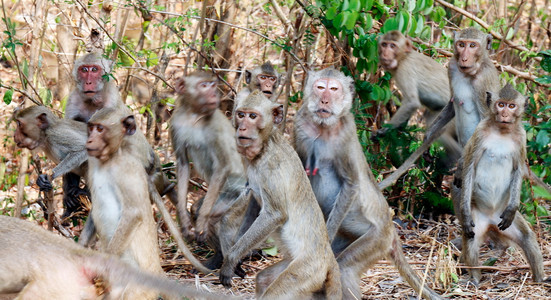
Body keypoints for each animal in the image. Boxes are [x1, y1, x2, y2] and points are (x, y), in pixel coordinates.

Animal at [219, 90, 340, 298]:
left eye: (253, 116)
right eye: (241, 115)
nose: (242, 128)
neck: (265, 145)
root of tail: (328, 255)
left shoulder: (271, 168)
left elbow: (275, 214)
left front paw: (231, 258)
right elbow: (249, 197)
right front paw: (232, 250)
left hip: (308, 270)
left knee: (278, 291)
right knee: (263, 279)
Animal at [294, 68, 444, 300]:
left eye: (333, 88)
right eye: (320, 87)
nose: (324, 100)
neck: (323, 127)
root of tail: (392, 231)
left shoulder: (346, 134)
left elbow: (351, 184)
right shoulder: (300, 124)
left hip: (377, 239)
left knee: (345, 268)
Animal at [378, 27, 502, 189]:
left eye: (392, 46)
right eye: (461, 44)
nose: (464, 58)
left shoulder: (405, 70)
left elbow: (411, 102)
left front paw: (382, 131)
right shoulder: (452, 66)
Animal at [458, 84, 548, 284]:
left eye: (512, 106)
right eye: (501, 104)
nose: (505, 114)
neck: (501, 131)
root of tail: (491, 220)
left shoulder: (522, 137)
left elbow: (518, 170)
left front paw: (513, 207)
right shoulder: (479, 132)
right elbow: (469, 168)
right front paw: (464, 213)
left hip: (503, 217)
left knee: (527, 236)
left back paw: (540, 279)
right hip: (478, 220)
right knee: (471, 239)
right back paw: (475, 279)